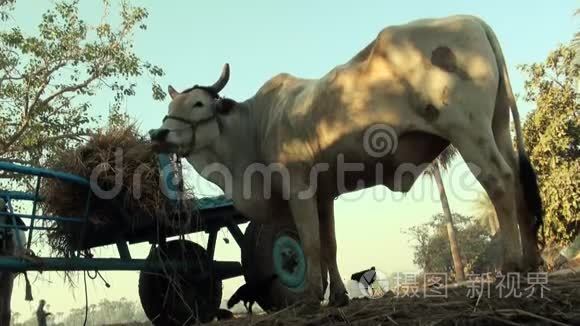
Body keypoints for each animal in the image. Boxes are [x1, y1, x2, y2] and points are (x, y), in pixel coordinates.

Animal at [150, 14, 544, 306]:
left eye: (198, 103)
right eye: (170, 105)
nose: (158, 134)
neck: (255, 128)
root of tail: (473, 20)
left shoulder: (299, 187)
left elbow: (311, 244)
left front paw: (311, 297)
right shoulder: (325, 194)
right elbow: (330, 246)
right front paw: (338, 297)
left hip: (467, 130)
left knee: (499, 180)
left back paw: (511, 266)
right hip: (498, 125)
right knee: (518, 181)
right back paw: (531, 264)